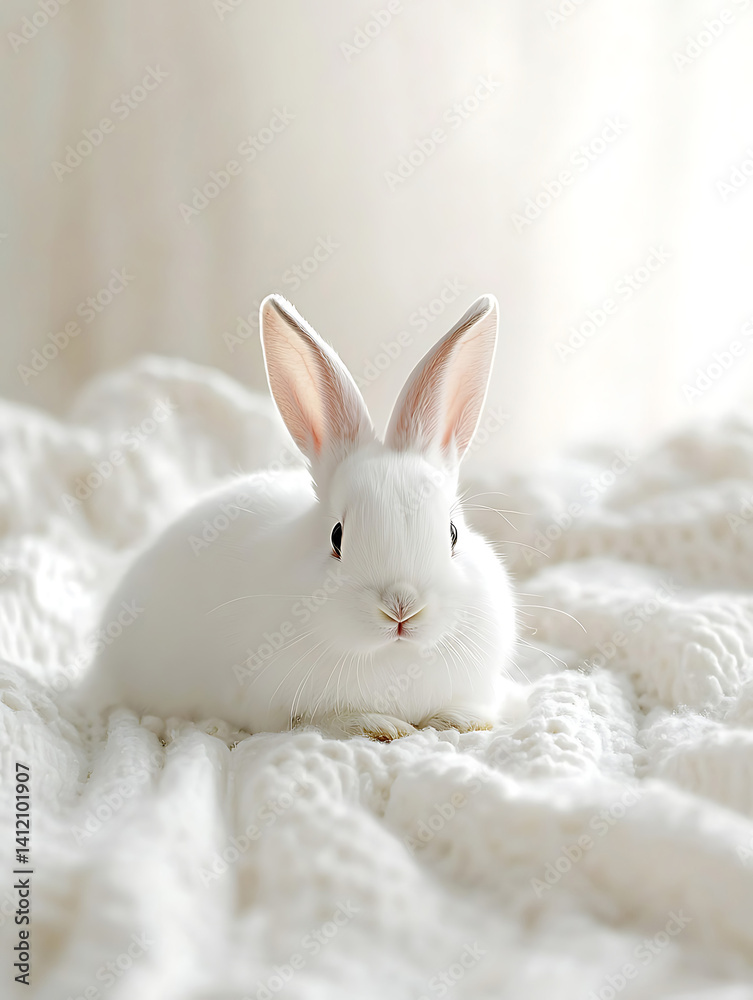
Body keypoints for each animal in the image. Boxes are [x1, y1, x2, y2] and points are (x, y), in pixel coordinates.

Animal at [79, 293, 517, 741]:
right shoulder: (272, 708)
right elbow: (323, 721)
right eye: (337, 537)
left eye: (453, 533)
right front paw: (379, 725)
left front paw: (458, 721)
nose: (401, 607)